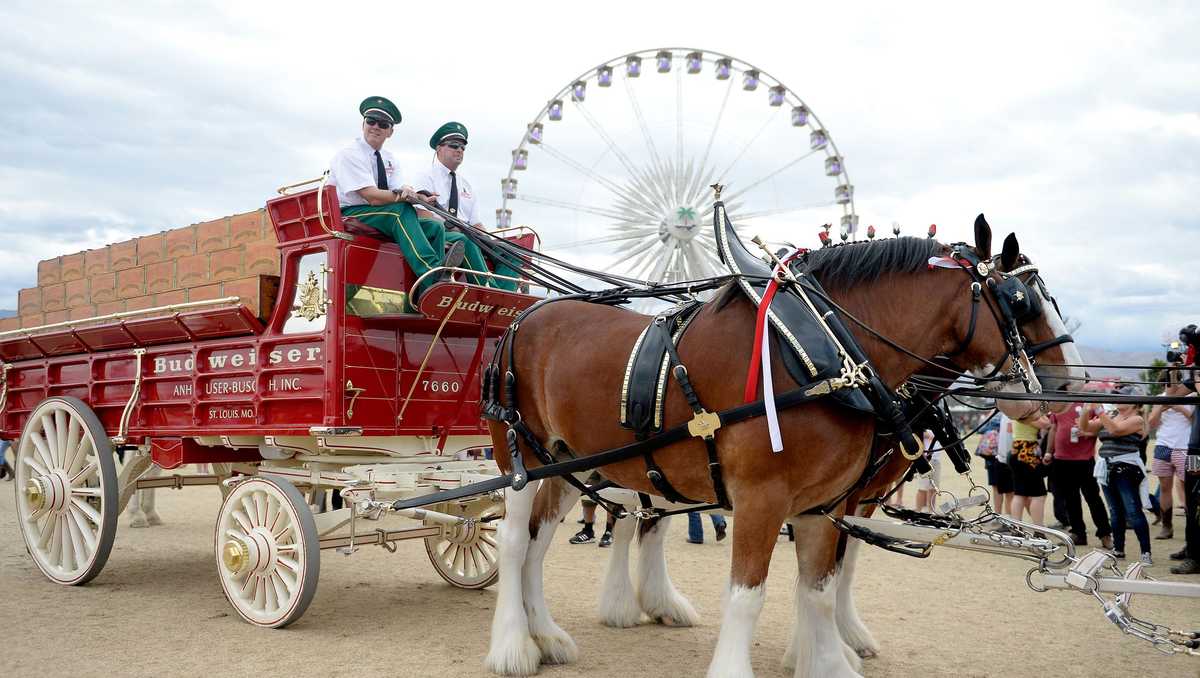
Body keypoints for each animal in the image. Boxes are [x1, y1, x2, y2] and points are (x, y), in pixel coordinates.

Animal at [482, 218, 1084, 676]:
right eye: (1021, 300)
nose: (1072, 384)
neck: (827, 355)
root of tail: (525, 316)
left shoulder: (828, 502)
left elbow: (821, 585)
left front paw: (831, 658)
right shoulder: (763, 498)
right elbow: (749, 594)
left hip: (569, 464)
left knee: (542, 542)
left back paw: (548, 636)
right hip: (522, 459)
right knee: (514, 541)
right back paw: (514, 646)